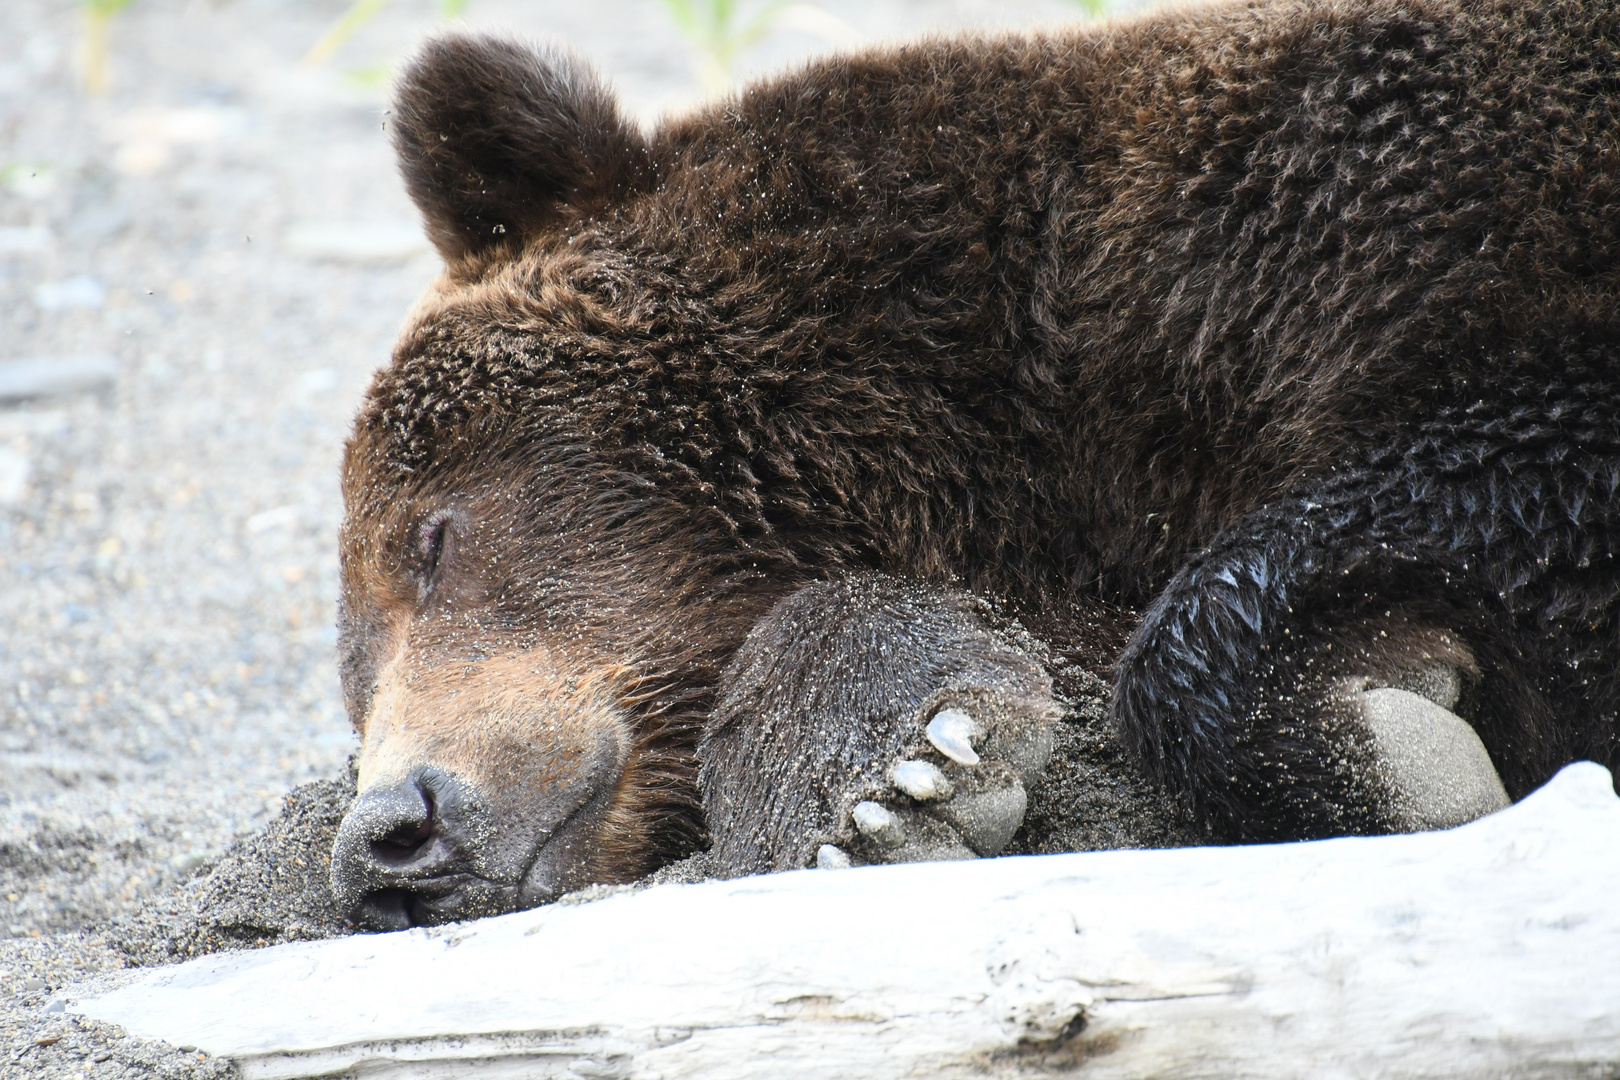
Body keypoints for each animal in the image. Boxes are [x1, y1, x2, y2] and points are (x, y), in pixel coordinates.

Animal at [322, 0, 1613, 932]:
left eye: (432, 539)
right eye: (357, 677)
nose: (389, 837)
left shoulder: (1436, 219)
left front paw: (1396, 751)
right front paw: (885, 781)